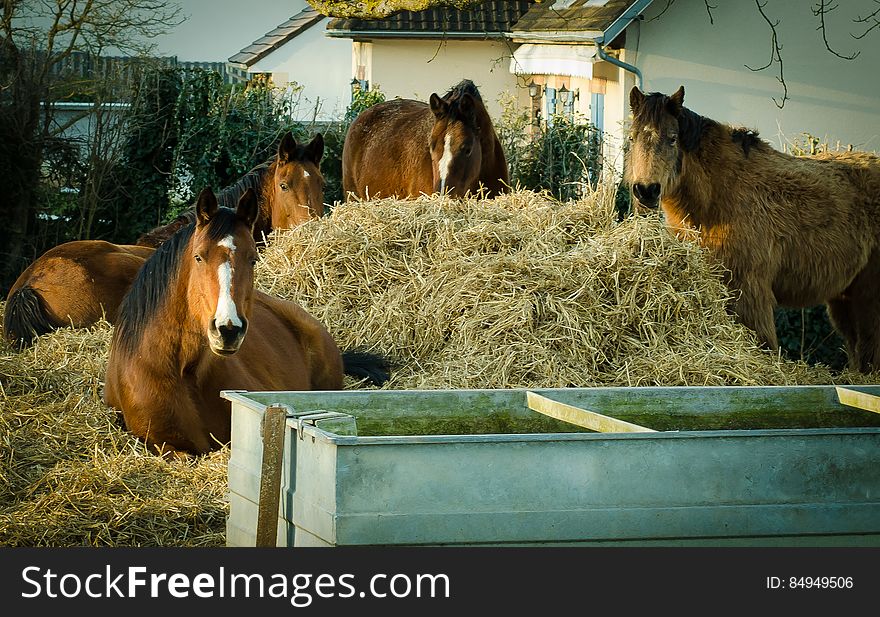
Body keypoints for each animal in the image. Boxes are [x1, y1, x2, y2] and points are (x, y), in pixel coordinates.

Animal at [624, 85, 880, 372]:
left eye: (672, 138)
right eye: (632, 138)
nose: (646, 190)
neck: (719, 195)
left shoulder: (749, 287)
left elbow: (763, 340)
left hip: (869, 292)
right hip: (845, 294)